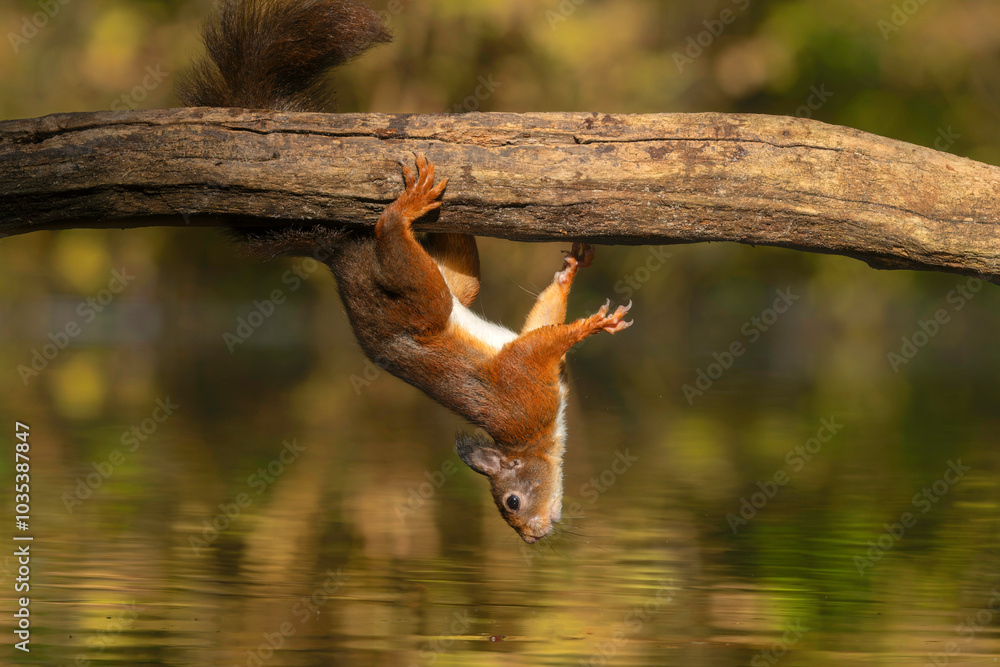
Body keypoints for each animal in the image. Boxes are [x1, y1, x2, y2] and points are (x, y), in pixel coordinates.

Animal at [178, 0, 632, 544]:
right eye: (512, 503)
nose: (533, 537)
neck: (537, 440)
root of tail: (341, 256)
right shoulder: (522, 385)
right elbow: (537, 340)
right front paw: (592, 325)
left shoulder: (532, 380)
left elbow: (539, 326)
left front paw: (572, 280)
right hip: (421, 301)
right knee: (394, 237)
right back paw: (404, 210)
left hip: (445, 288)